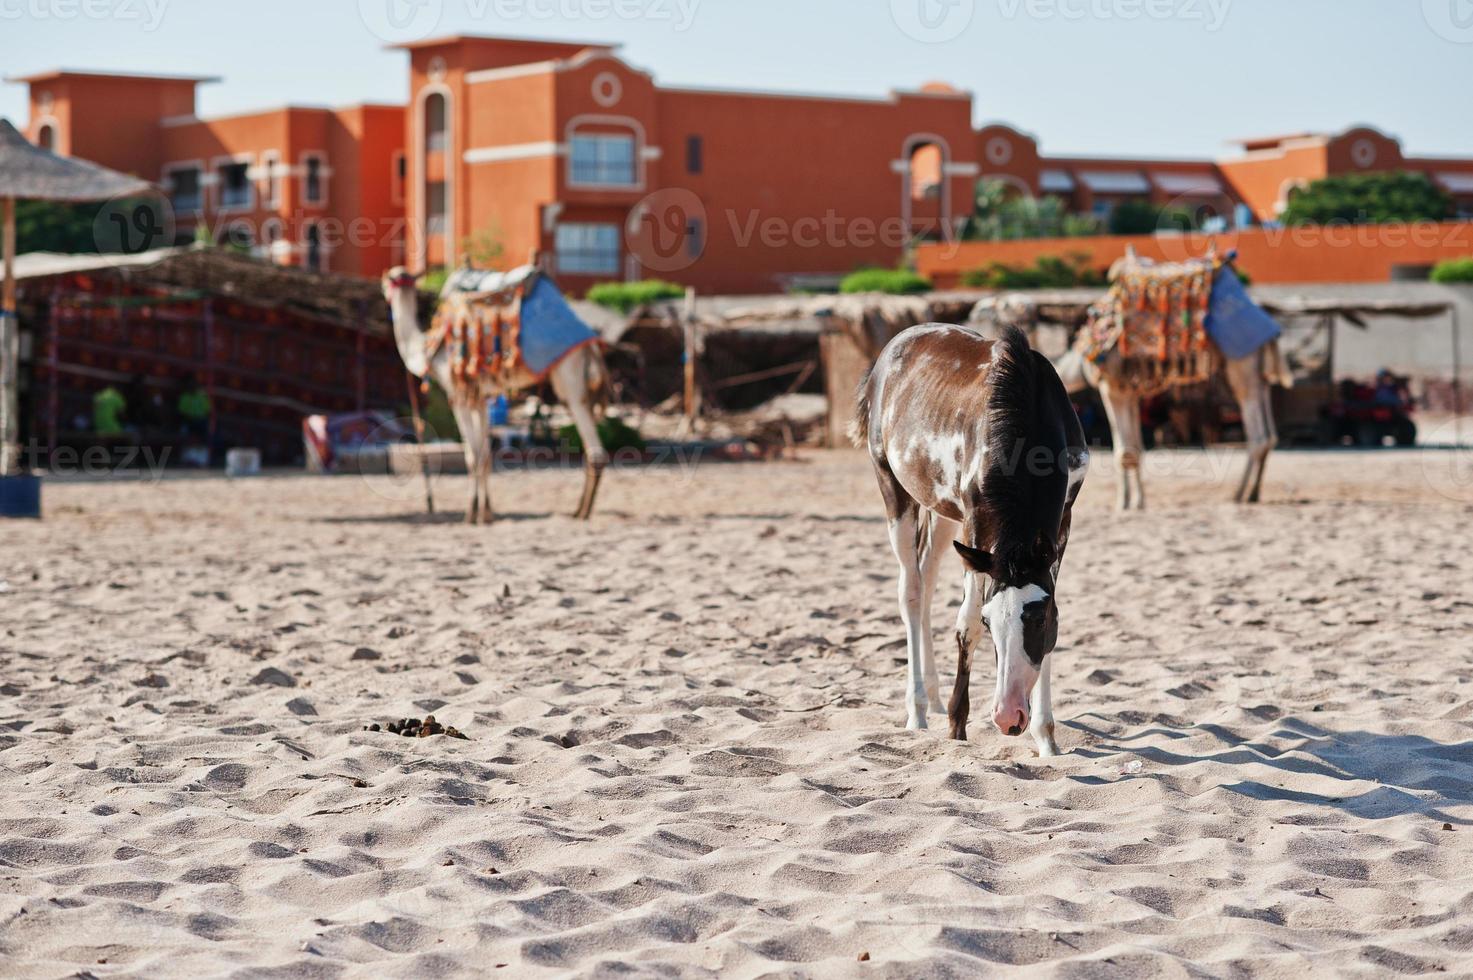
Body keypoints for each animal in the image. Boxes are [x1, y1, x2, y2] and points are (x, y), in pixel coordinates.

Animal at [385, 268, 609, 524]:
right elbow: (484, 457)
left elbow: (472, 457)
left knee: (595, 451)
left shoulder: (459, 396)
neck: (426, 348)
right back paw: (578, 510)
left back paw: (582, 512)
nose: (383, 288)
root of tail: (592, 345)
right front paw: (487, 513)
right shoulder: (480, 400)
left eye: (388, 279)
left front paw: (471, 514)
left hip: (569, 380)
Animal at [860, 322, 1090, 754]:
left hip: (942, 513)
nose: (1008, 716)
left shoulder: (1062, 523)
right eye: (990, 620)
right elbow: (965, 622)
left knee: (927, 583)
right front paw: (957, 726)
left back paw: (933, 699)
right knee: (911, 592)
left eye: (1038, 619)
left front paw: (1046, 739)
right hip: (894, 491)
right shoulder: (977, 524)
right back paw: (918, 711)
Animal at [978, 250, 1290, 512]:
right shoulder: (1128, 391)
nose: (973, 313)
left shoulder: (1111, 386)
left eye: (992, 309)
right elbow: (1135, 449)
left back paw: (1240, 494)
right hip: (1257, 373)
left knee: (1258, 435)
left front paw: (1124, 503)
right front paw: (1136, 499)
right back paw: (1252, 493)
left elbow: (1123, 451)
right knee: (1269, 434)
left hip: (1242, 364)